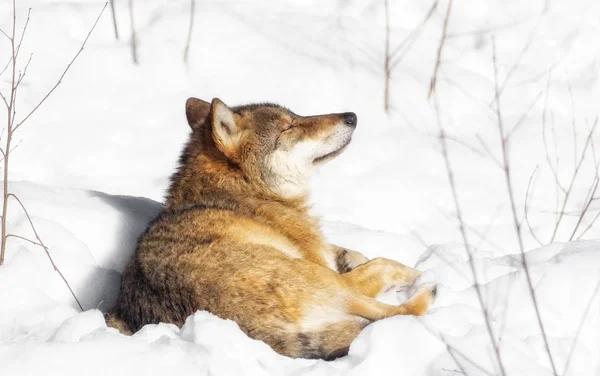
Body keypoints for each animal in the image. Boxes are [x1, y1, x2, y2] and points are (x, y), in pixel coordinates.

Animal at [108, 98, 436, 360]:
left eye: (297, 115)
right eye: (289, 127)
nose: (352, 116)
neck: (248, 192)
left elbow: (351, 251)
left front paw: (350, 255)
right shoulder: (326, 266)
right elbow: (381, 262)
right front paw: (418, 272)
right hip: (325, 281)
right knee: (399, 311)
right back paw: (429, 288)